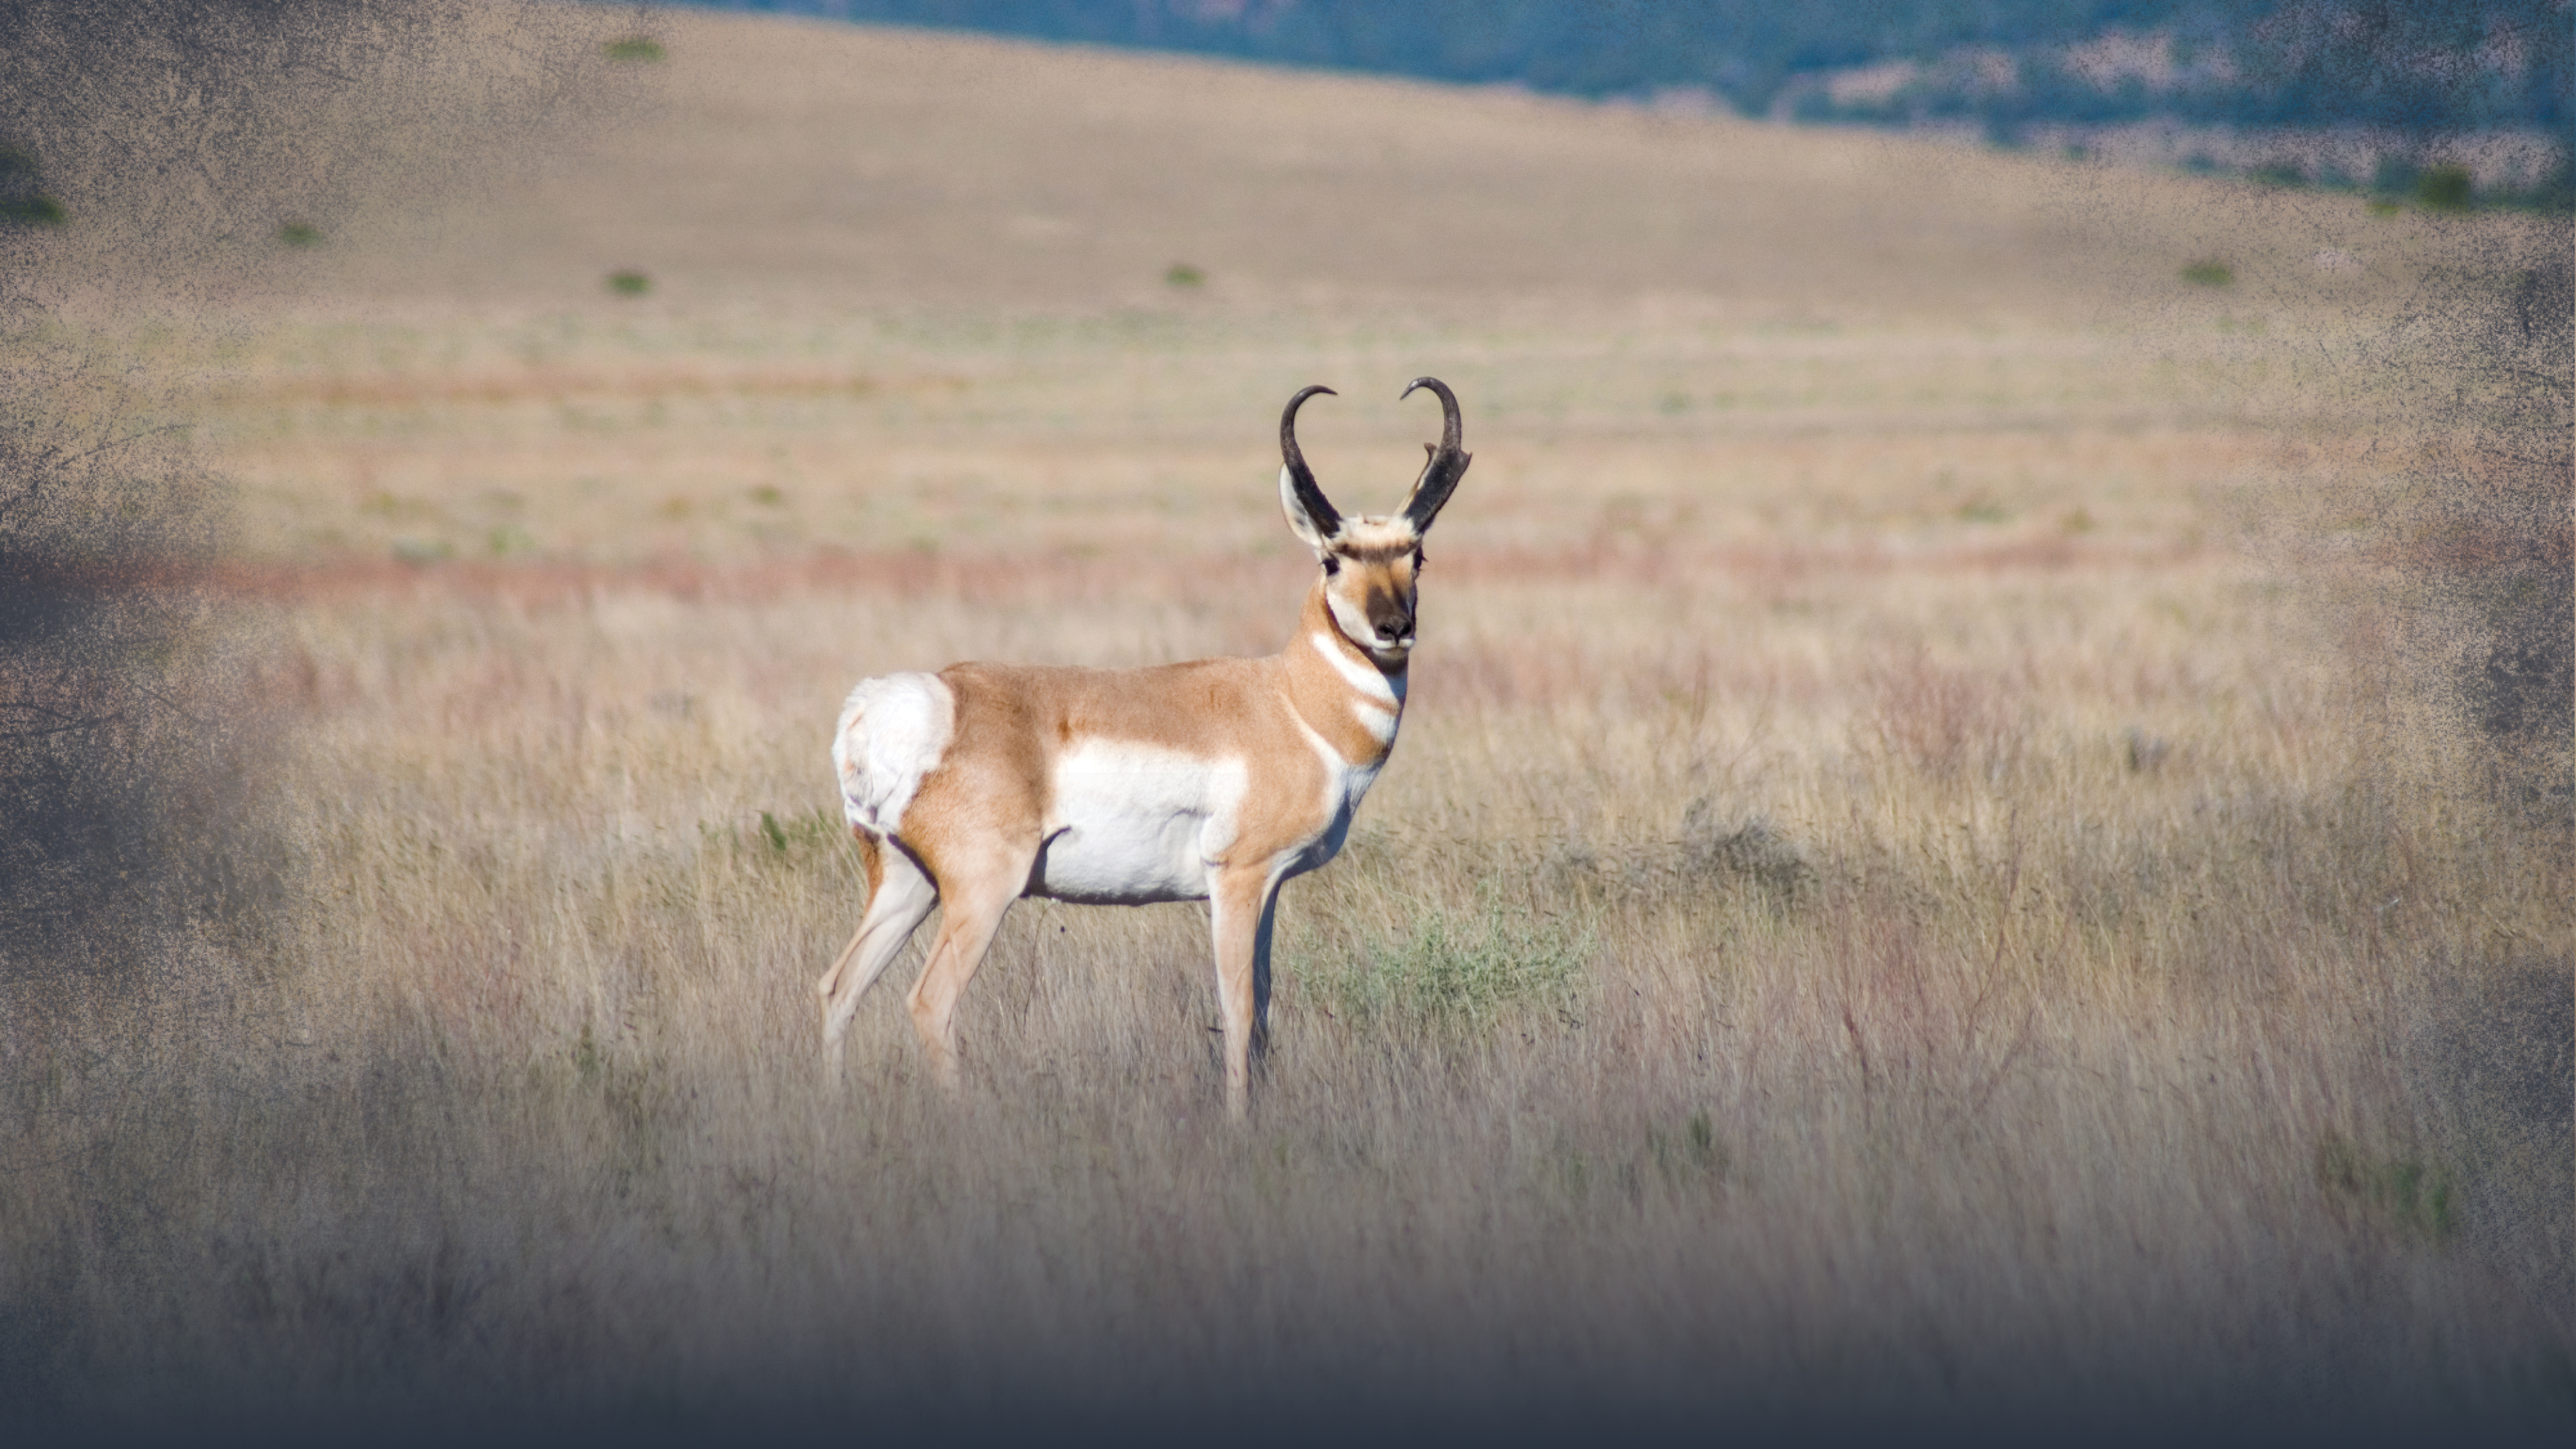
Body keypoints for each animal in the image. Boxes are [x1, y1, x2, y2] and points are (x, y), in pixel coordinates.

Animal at [821, 378, 1471, 1119]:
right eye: (1333, 560)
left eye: (1417, 555)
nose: (1395, 627)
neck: (1290, 701)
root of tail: (911, 701)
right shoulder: (1236, 880)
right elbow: (1239, 1013)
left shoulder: (1271, 889)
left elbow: (1265, 1011)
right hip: (981, 893)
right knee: (929, 1004)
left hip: (906, 886)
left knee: (839, 988)